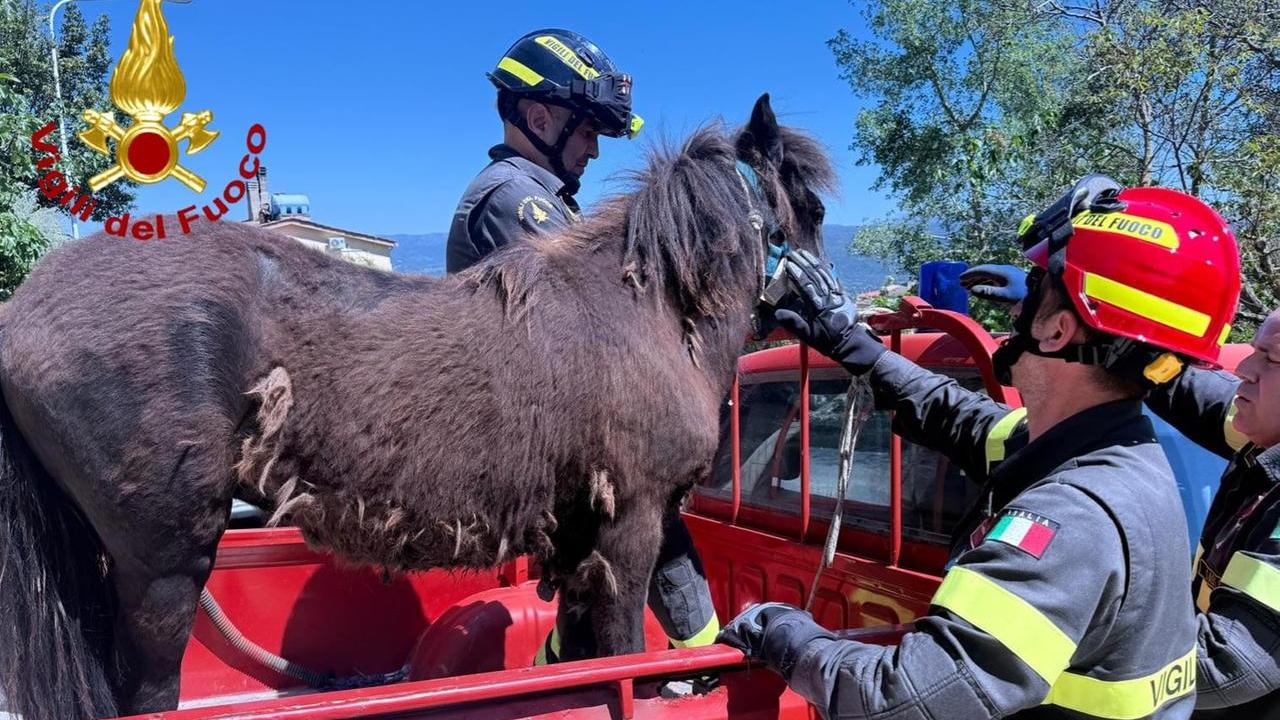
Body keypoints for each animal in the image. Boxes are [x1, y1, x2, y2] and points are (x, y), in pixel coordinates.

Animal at [0, 94, 834, 719]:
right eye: (814, 208)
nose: (835, 316)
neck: (647, 308)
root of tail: (21, 310)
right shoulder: (628, 529)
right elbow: (622, 652)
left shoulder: (576, 537)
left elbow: (579, 659)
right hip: (164, 565)